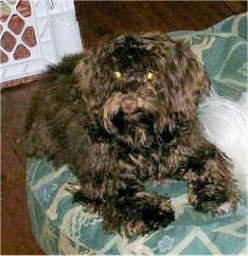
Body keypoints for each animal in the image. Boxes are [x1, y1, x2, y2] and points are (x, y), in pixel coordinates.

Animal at [25, 32, 238, 236]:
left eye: (151, 74)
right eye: (117, 73)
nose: (128, 101)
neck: (140, 132)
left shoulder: (191, 149)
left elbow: (208, 166)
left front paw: (215, 196)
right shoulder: (105, 176)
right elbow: (125, 195)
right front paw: (152, 213)